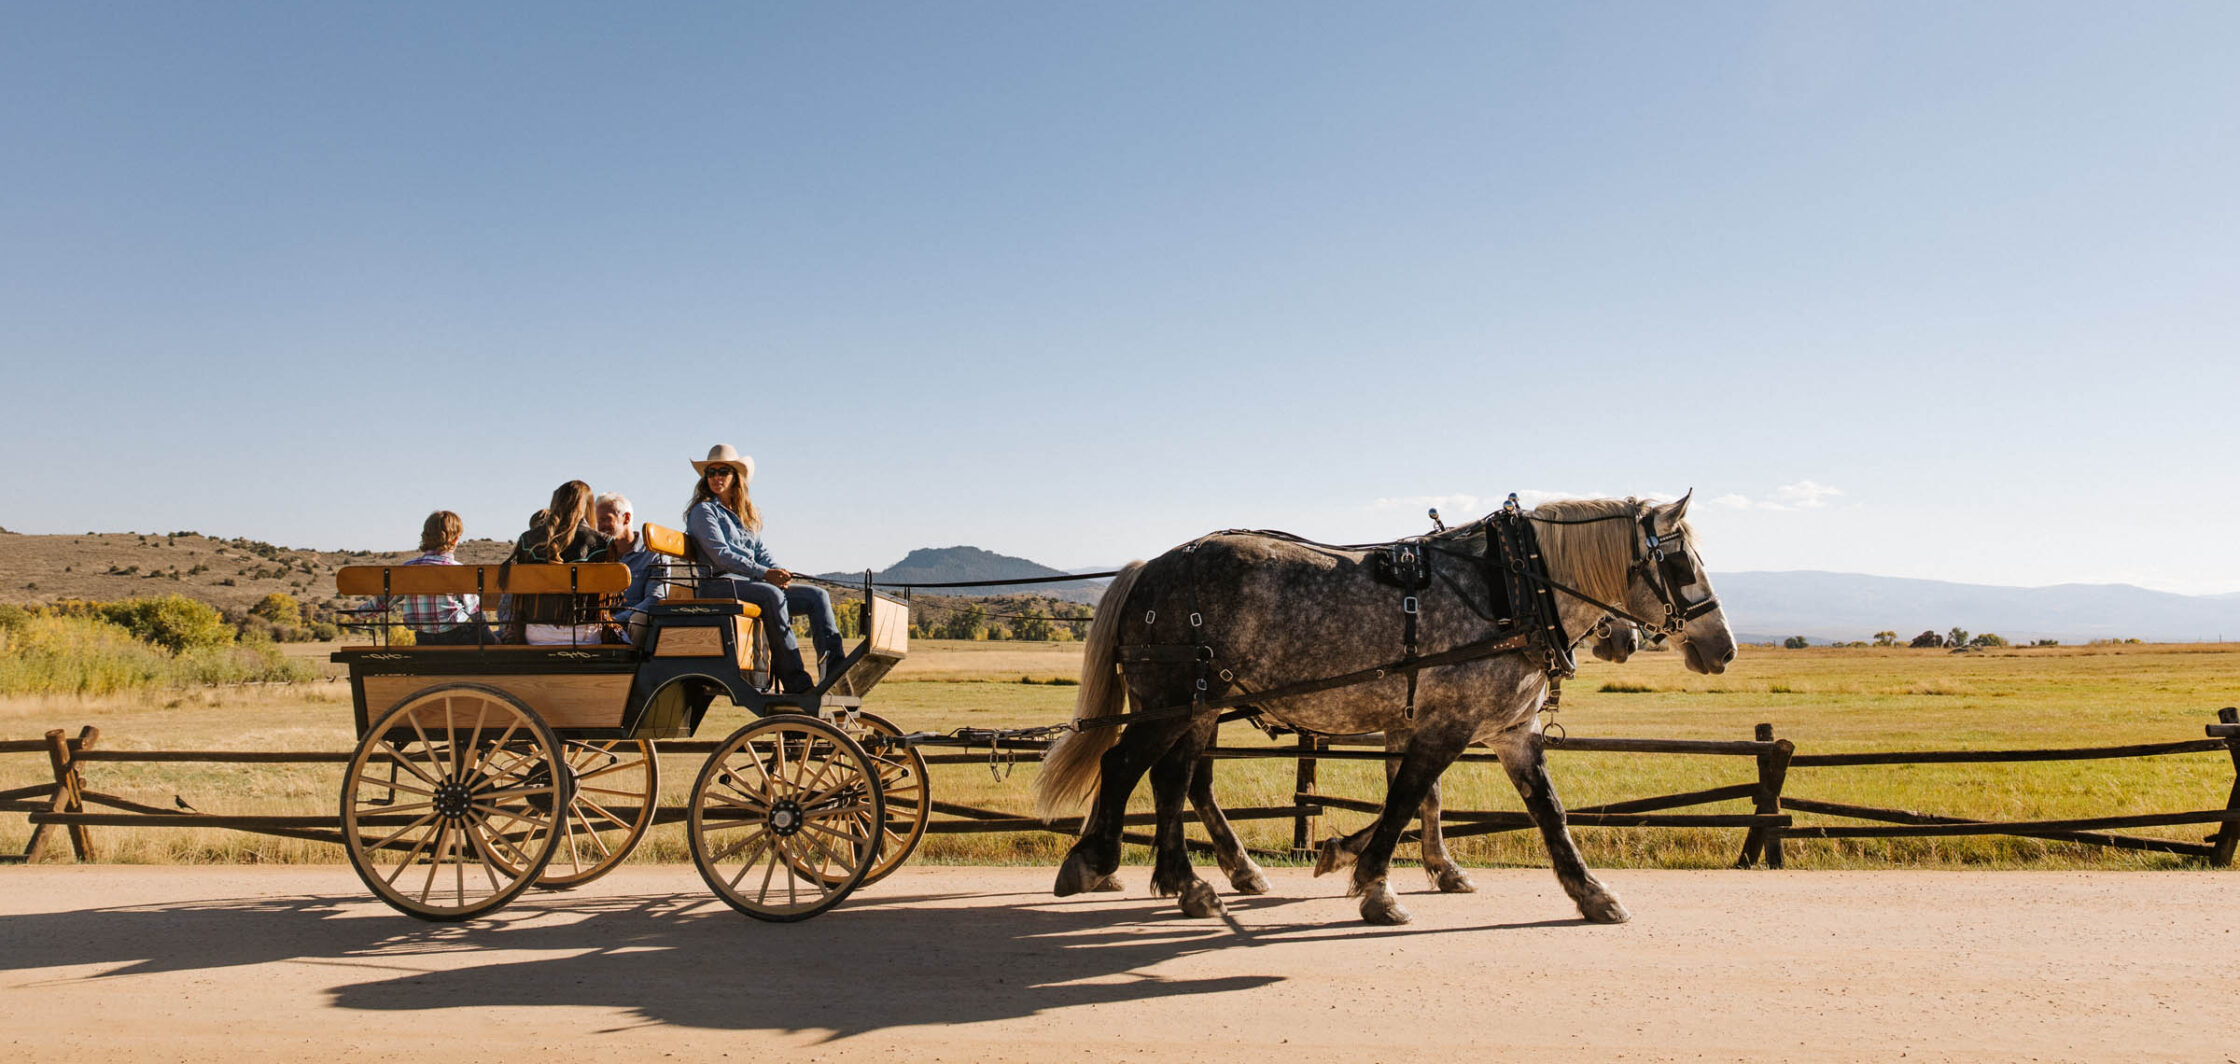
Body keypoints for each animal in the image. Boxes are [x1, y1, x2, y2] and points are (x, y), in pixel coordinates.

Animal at [1033, 495, 1734, 925]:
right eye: (1680, 560)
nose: (1722, 646)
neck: (1513, 587)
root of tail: (1150, 567)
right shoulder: (1444, 725)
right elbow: (1407, 799)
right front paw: (1373, 883)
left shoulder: (1507, 731)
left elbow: (1543, 812)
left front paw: (1590, 894)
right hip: (1173, 702)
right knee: (1134, 769)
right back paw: (1108, 865)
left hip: (1196, 706)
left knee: (1176, 781)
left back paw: (1197, 880)